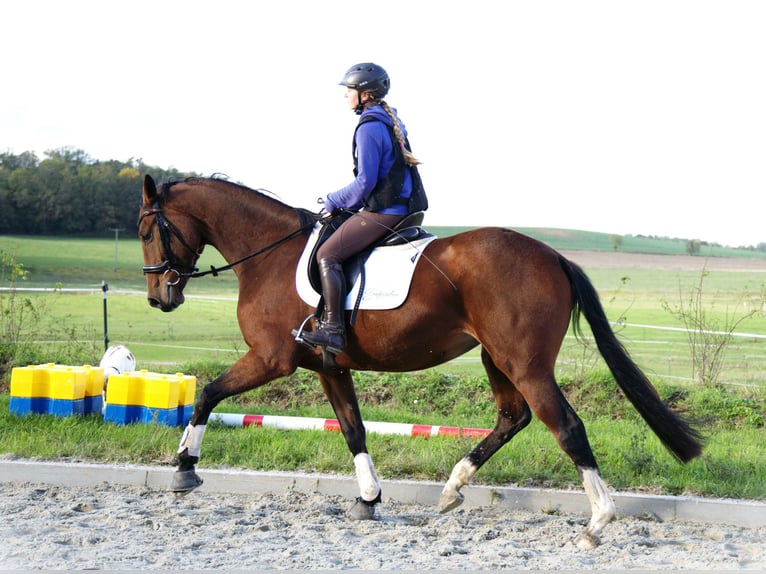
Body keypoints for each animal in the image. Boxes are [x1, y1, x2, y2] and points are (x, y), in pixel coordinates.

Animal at [136, 174, 704, 548]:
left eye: (145, 230)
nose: (159, 299)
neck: (269, 254)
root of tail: (553, 256)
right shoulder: (330, 367)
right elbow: (353, 429)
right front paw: (368, 498)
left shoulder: (271, 359)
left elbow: (209, 393)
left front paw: (185, 467)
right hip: (497, 359)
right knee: (512, 416)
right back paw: (453, 488)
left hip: (524, 363)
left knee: (564, 426)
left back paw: (596, 523)